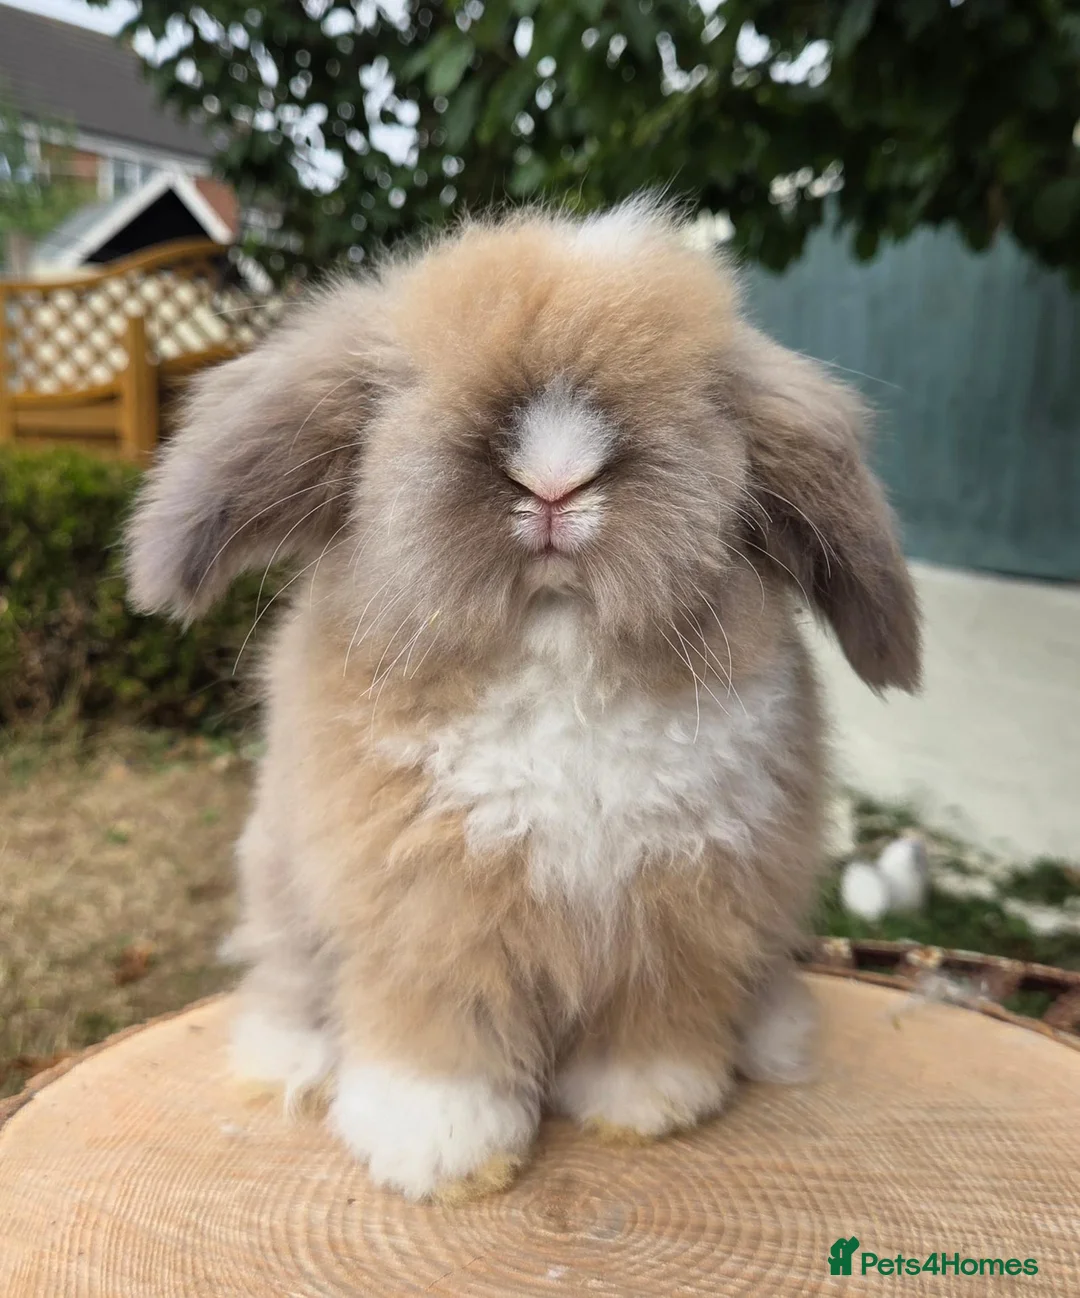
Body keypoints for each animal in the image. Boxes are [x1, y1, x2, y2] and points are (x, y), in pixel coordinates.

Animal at [125, 198, 921, 1203]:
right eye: (405, 388)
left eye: (706, 402)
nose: (554, 477)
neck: (557, 660)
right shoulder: (426, 920)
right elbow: (436, 1042)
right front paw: (438, 1155)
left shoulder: (679, 917)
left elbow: (656, 1022)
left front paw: (647, 1108)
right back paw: (290, 1064)